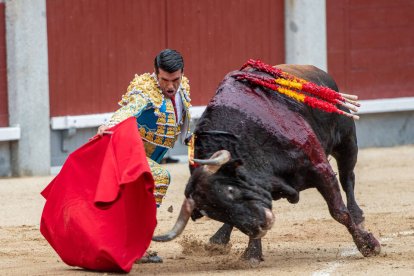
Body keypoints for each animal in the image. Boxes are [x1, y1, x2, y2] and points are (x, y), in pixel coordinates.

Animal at [153, 61, 382, 262]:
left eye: (231, 190)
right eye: (217, 214)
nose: (261, 226)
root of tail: (317, 70)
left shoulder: (319, 167)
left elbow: (339, 212)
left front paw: (368, 245)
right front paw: (252, 253)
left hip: (347, 142)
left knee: (347, 178)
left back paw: (358, 216)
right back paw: (218, 239)